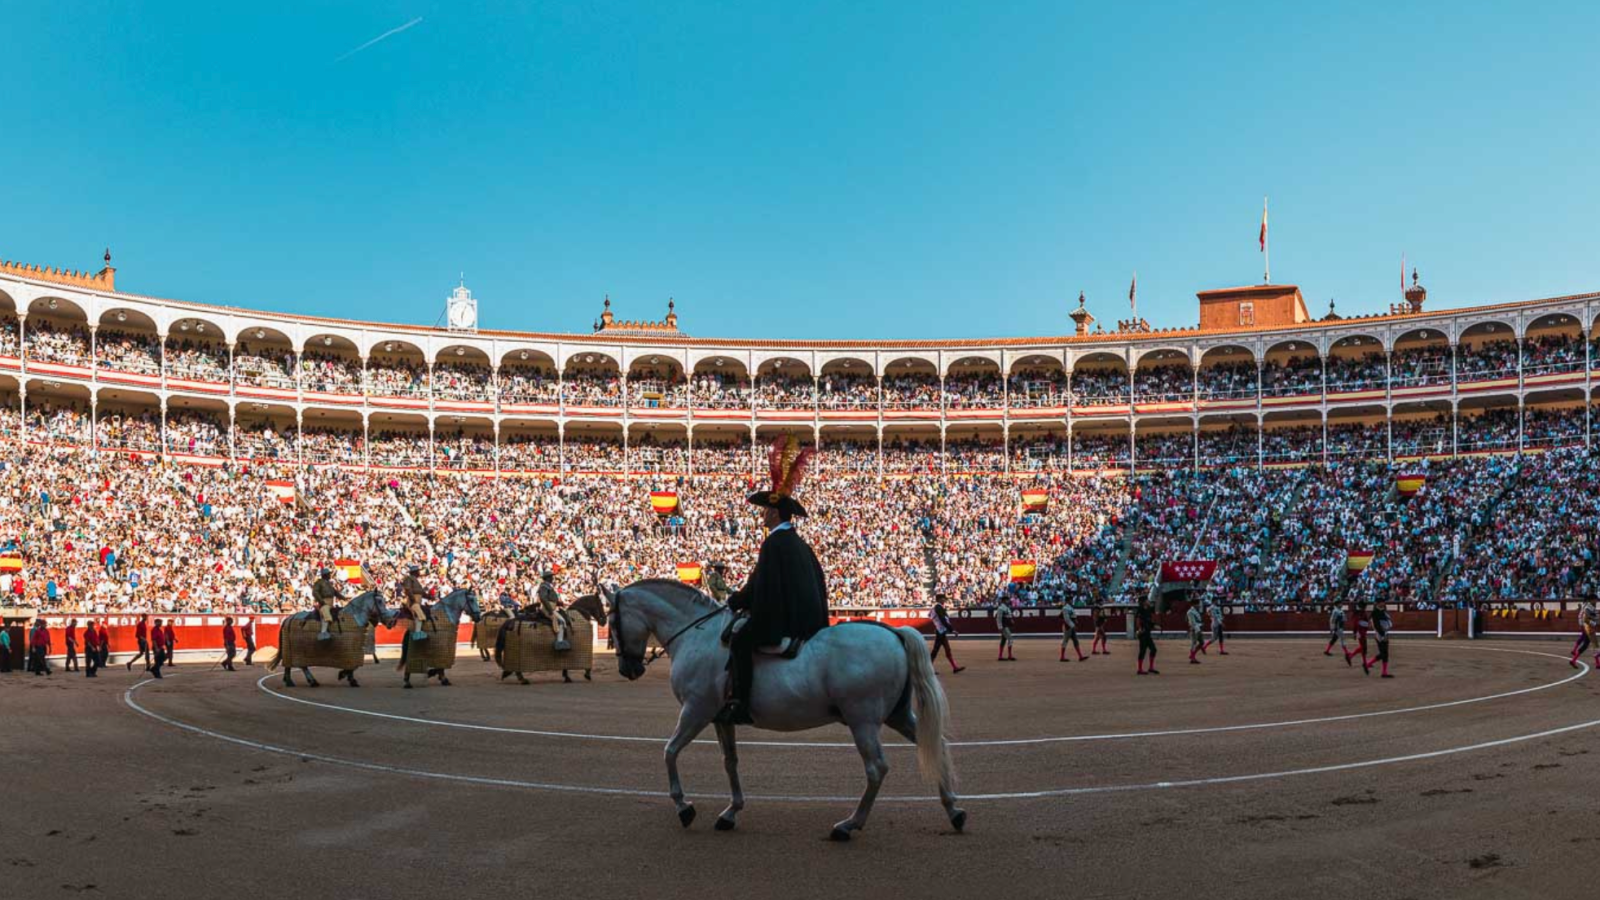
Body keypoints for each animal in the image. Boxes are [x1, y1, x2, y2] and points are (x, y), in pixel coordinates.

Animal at [608, 576, 960, 839]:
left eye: (611, 621)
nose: (628, 669)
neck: (697, 636)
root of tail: (893, 631)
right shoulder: (722, 718)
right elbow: (730, 762)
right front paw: (731, 812)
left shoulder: (696, 711)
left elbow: (669, 751)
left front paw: (684, 808)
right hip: (896, 716)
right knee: (937, 744)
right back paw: (954, 810)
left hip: (863, 721)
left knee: (876, 768)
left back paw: (848, 825)